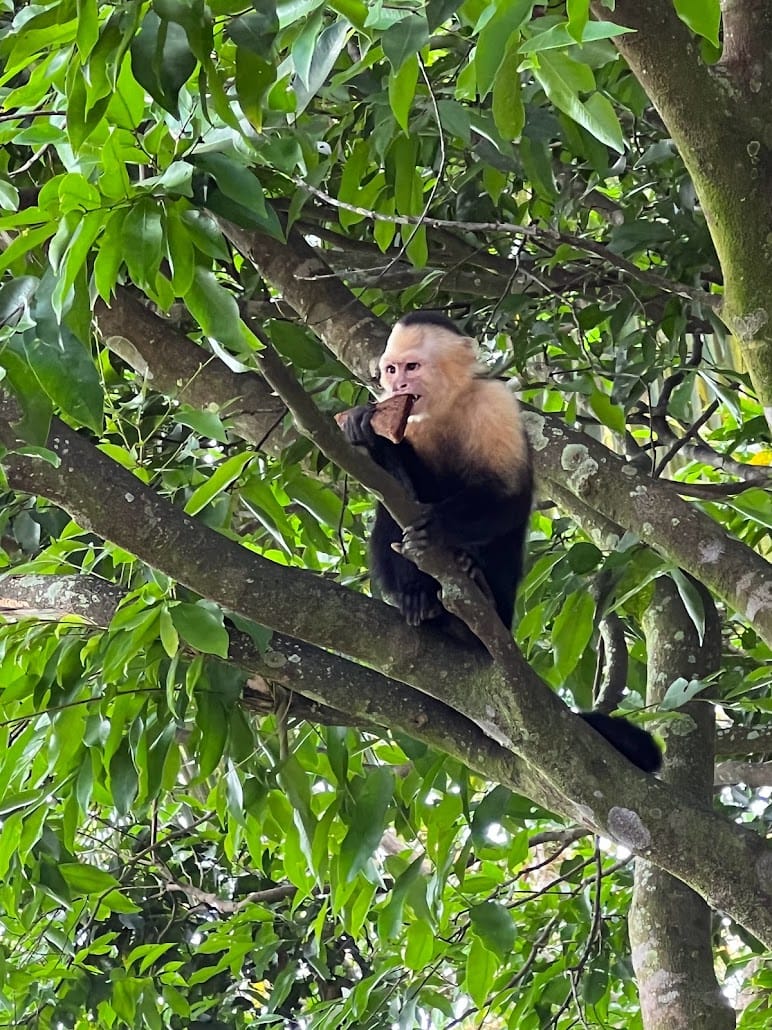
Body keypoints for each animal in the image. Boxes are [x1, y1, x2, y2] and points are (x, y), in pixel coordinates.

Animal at [342, 311, 661, 773]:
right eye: (391, 370)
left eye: (412, 367)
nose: (397, 386)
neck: (445, 408)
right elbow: (397, 492)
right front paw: (371, 437)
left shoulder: (496, 404)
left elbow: (507, 498)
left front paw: (439, 527)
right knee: (388, 523)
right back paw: (421, 597)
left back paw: (474, 589)